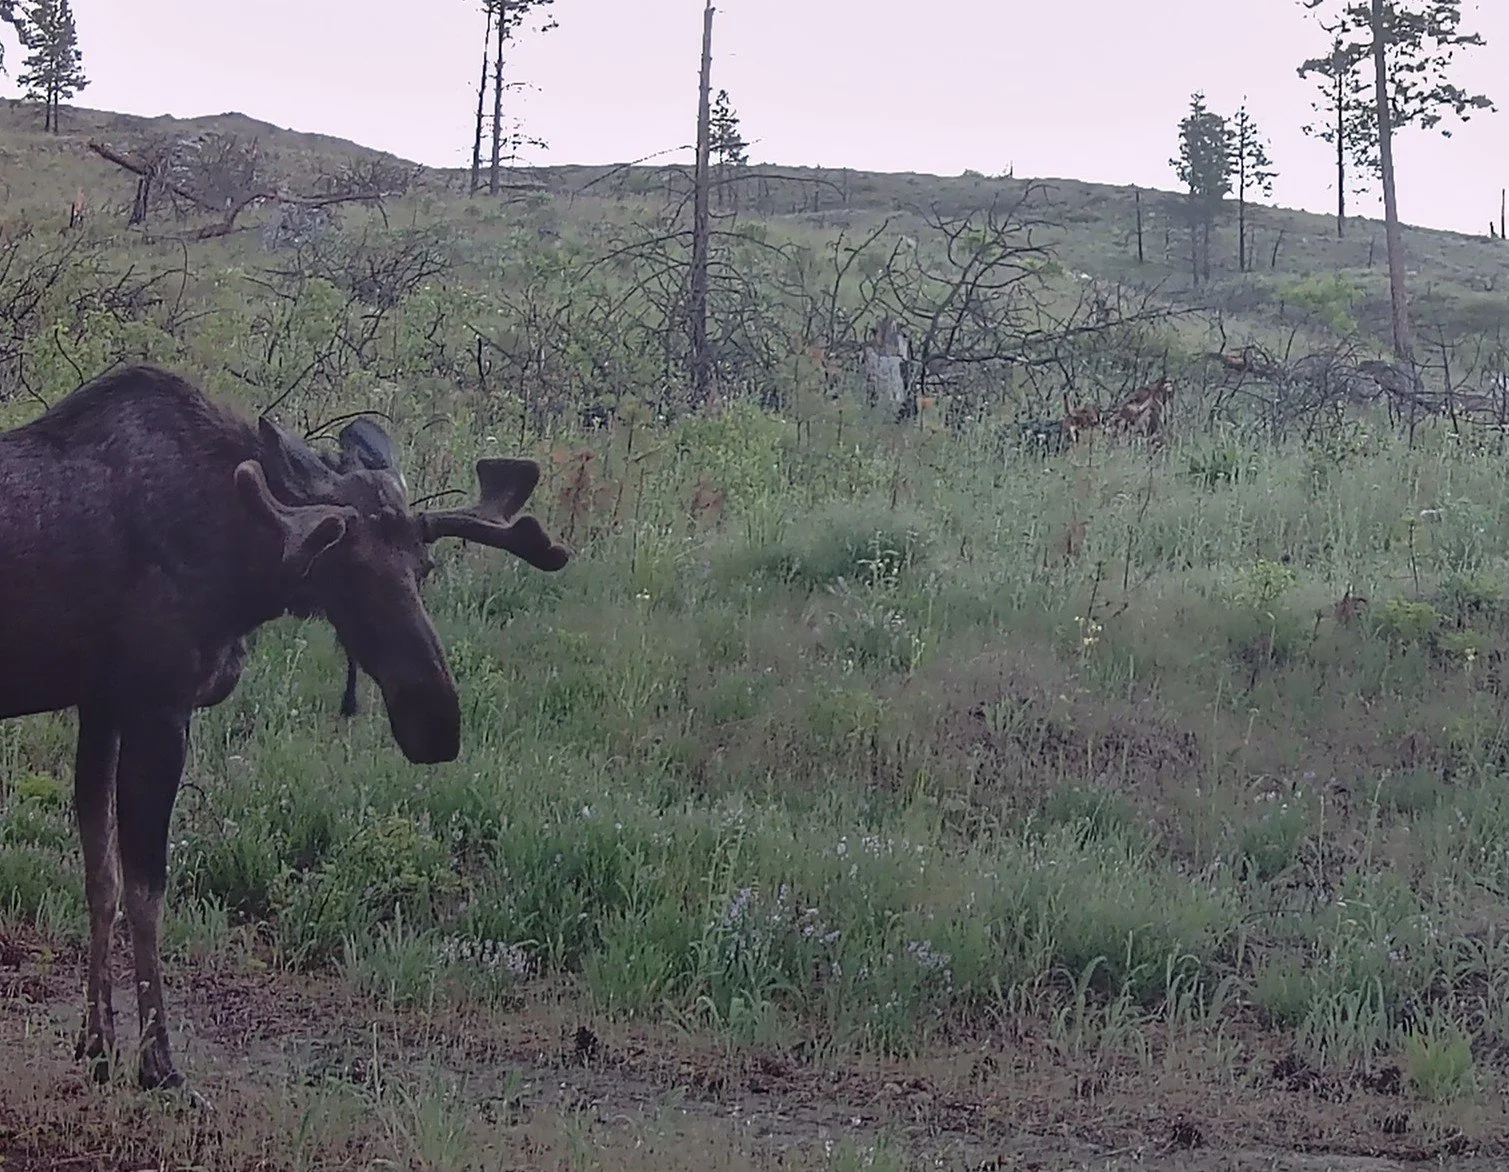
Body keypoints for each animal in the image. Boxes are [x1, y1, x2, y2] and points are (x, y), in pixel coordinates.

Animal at [0, 364, 570, 1096]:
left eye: (425, 568)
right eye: (344, 567)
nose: (436, 721)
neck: (238, 564)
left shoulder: (102, 704)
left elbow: (101, 880)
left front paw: (97, 1047)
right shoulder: (159, 706)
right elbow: (148, 892)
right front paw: (158, 1062)